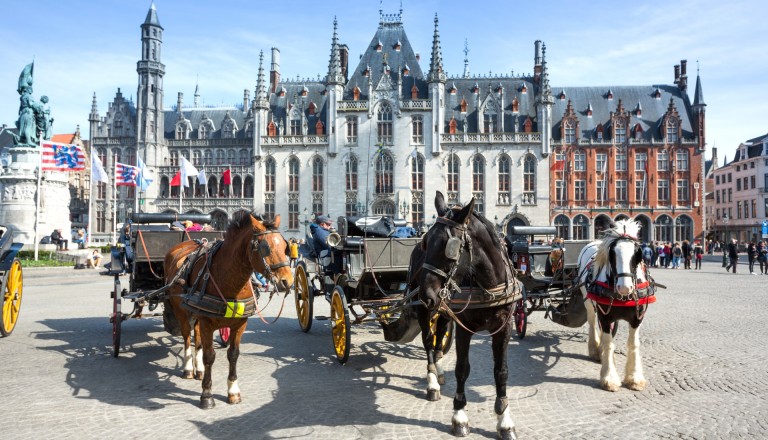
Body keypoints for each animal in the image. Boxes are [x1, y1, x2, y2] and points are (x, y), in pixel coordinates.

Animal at [164, 211, 292, 408]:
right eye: (265, 248)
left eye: (285, 246)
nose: (288, 281)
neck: (230, 280)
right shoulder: (207, 322)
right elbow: (210, 356)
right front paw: (207, 395)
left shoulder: (239, 324)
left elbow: (233, 354)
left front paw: (233, 391)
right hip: (181, 311)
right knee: (187, 338)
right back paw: (188, 369)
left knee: (197, 338)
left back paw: (198, 369)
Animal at [420, 193, 520, 440]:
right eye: (426, 241)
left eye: (449, 247)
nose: (426, 295)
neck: (487, 285)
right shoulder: (464, 328)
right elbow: (462, 369)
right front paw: (459, 415)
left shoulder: (504, 328)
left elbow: (501, 371)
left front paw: (504, 420)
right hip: (426, 312)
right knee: (429, 345)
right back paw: (432, 383)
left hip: (443, 311)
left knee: (438, 340)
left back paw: (439, 371)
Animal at [580, 220, 656, 392]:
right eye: (613, 255)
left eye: (636, 254)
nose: (625, 287)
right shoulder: (605, 316)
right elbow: (609, 343)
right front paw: (609, 378)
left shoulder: (637, 317)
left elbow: (633, 343)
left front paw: (634, 378)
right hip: (588, 303)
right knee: (592, 323)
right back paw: (595, 349)